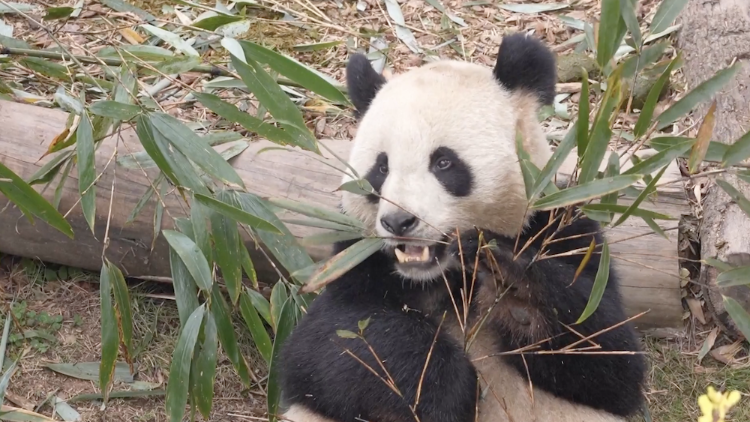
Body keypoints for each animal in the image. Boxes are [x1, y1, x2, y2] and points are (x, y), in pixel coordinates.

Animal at [277, 33, 647, 422]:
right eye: (381, 168)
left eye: (443, 162)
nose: (398, 221)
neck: (444, 277)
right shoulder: (354, 259)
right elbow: (329, 344)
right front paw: (443, 391)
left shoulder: (562, 228)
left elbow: (610, 357)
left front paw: (511, 282)